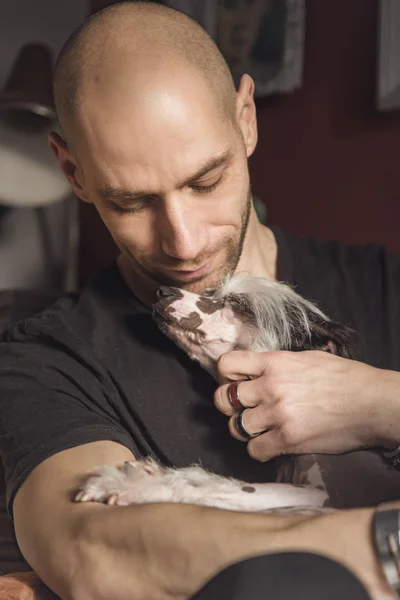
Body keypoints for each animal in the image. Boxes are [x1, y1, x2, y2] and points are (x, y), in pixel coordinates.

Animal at [75, 276, 354, 516]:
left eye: (239, 304)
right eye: (212, 293)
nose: (163, 290)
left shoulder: (322, 494)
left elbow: (229, 487)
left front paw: (138, 485)